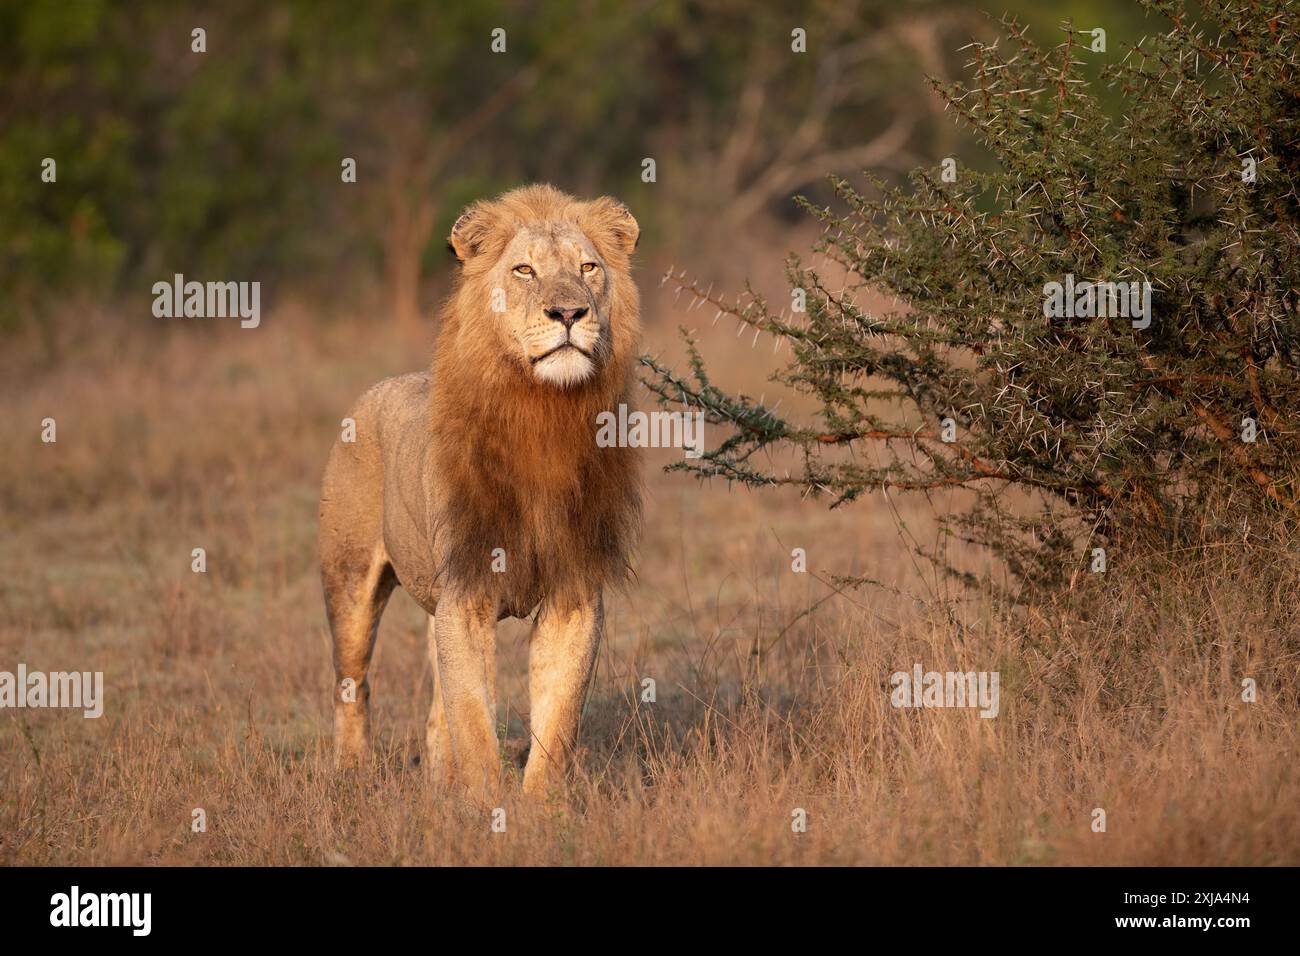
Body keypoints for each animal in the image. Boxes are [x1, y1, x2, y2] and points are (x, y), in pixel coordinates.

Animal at [314, 183, 639, 796]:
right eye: (524, 270)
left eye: (588, 268)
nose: (569, 312)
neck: (543, 413)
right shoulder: (466, 588)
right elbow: (473, 718)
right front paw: (487, 803)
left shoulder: (574, 593)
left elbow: (556, 718)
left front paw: (539, 808)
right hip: (347, 577)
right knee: (353, 682)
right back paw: (350, 775)